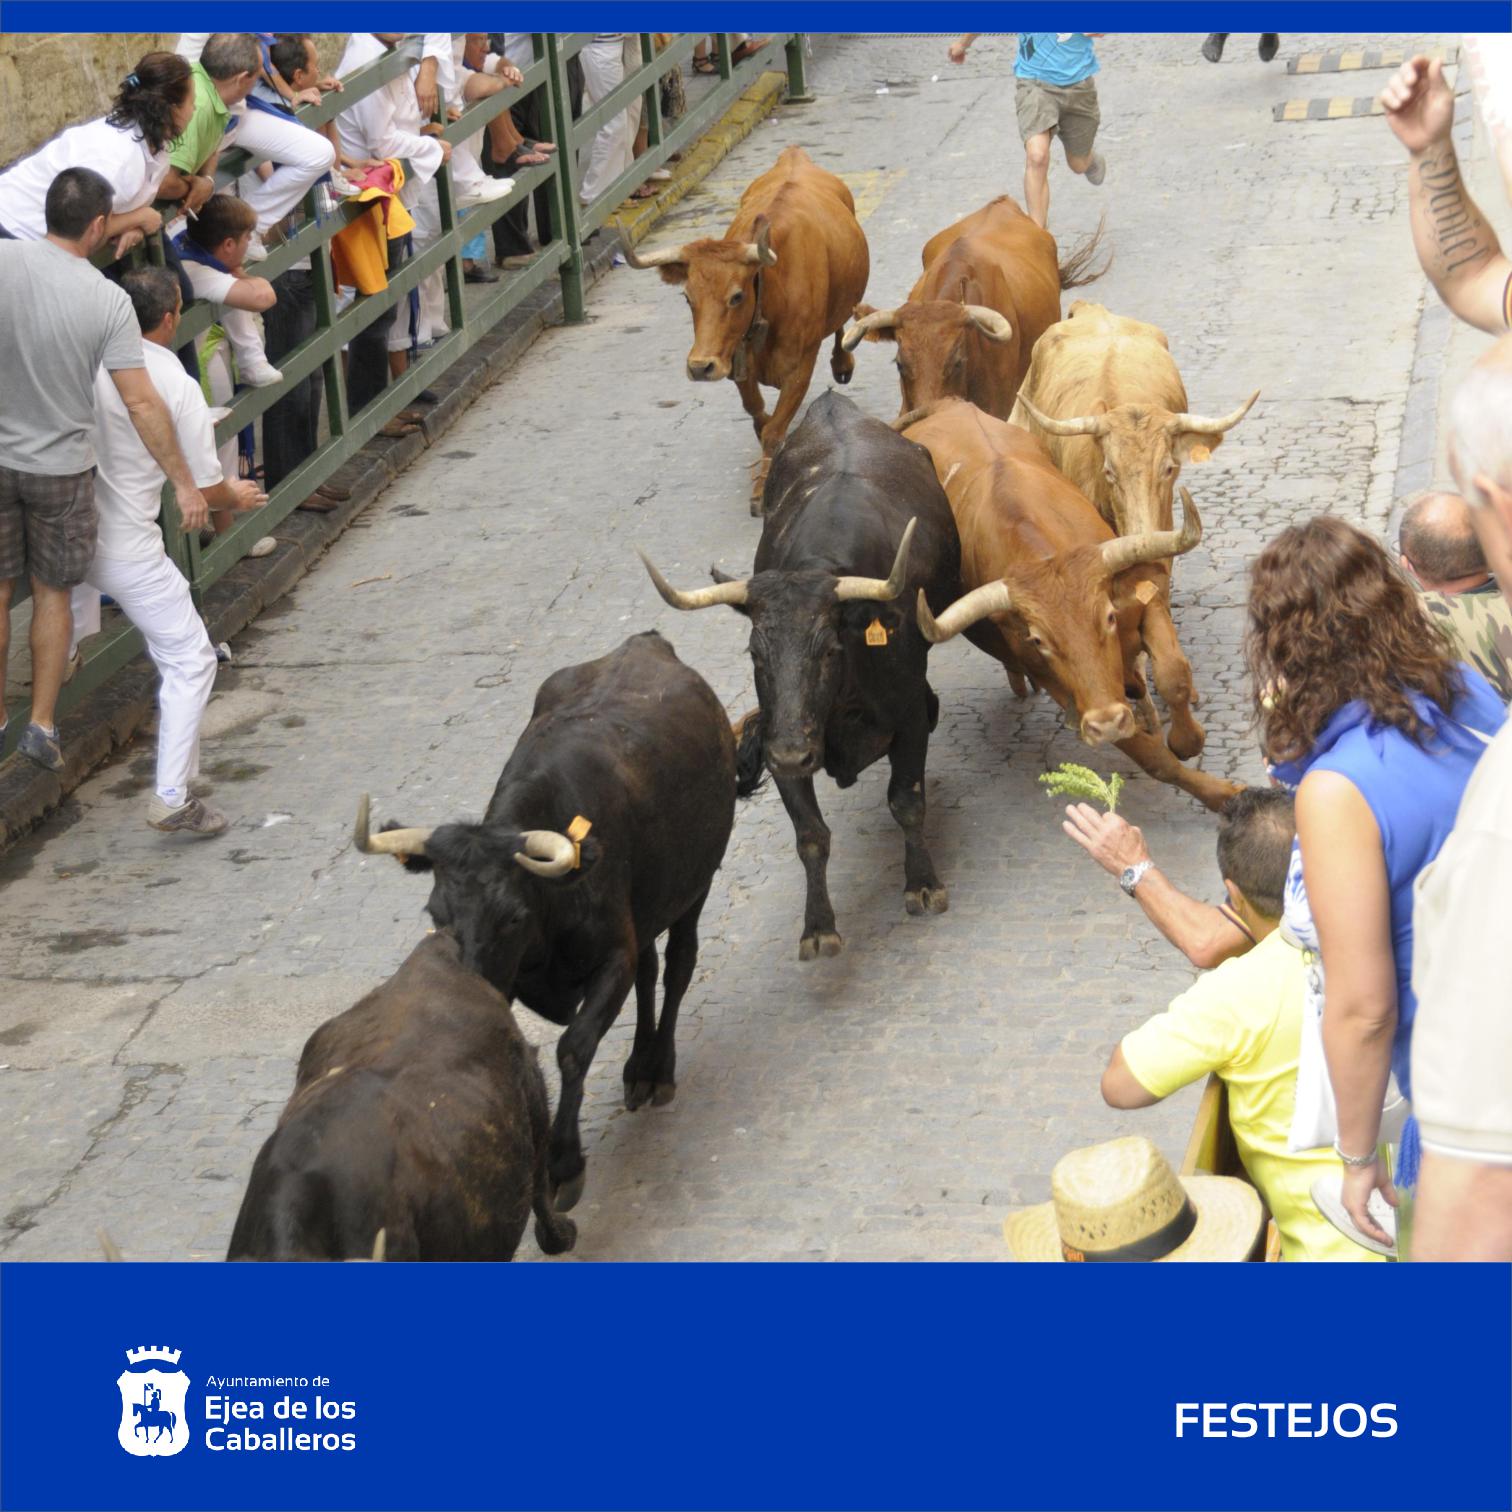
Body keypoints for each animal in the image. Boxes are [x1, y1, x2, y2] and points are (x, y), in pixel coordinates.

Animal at [341, 632, 749, 1209]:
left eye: (513, 916)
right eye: (436, 913)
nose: (464, 985)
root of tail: (646, 641)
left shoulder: (612, 957)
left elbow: (574, 1047)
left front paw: (562, 1165)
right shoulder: (515, 977)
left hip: (696, 883)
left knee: (677, 967)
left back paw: (658, 1068)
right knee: (651, 971)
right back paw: (638, 1067)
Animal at [622, 148, 864, 514]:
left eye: (736, 296)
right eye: (687, 297)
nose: (700, 366)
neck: (773, 291)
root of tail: (794, 154)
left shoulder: (801, 367)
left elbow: (774, 430)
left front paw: (763, 490)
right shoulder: (737, 362)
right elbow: (759, 415)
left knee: (840, 324)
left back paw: (842, 363)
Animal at [638, 390, 955, 955]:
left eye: (828, 649)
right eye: (755, 653)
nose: (789, 754)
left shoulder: (909, 717)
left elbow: (907, 801)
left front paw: (922, 884)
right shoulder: (782, 739)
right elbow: (810, 835)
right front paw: (818, 926)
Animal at [895, 396, 1239, 810]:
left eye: (1109, 617)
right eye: (1038, 640)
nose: (1106, 720)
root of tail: (946, 405)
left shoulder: (1145, 599)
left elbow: (1173, 674)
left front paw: (1189, 741)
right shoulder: (1059, 683)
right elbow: (1148, 754)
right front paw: (1222, 794)